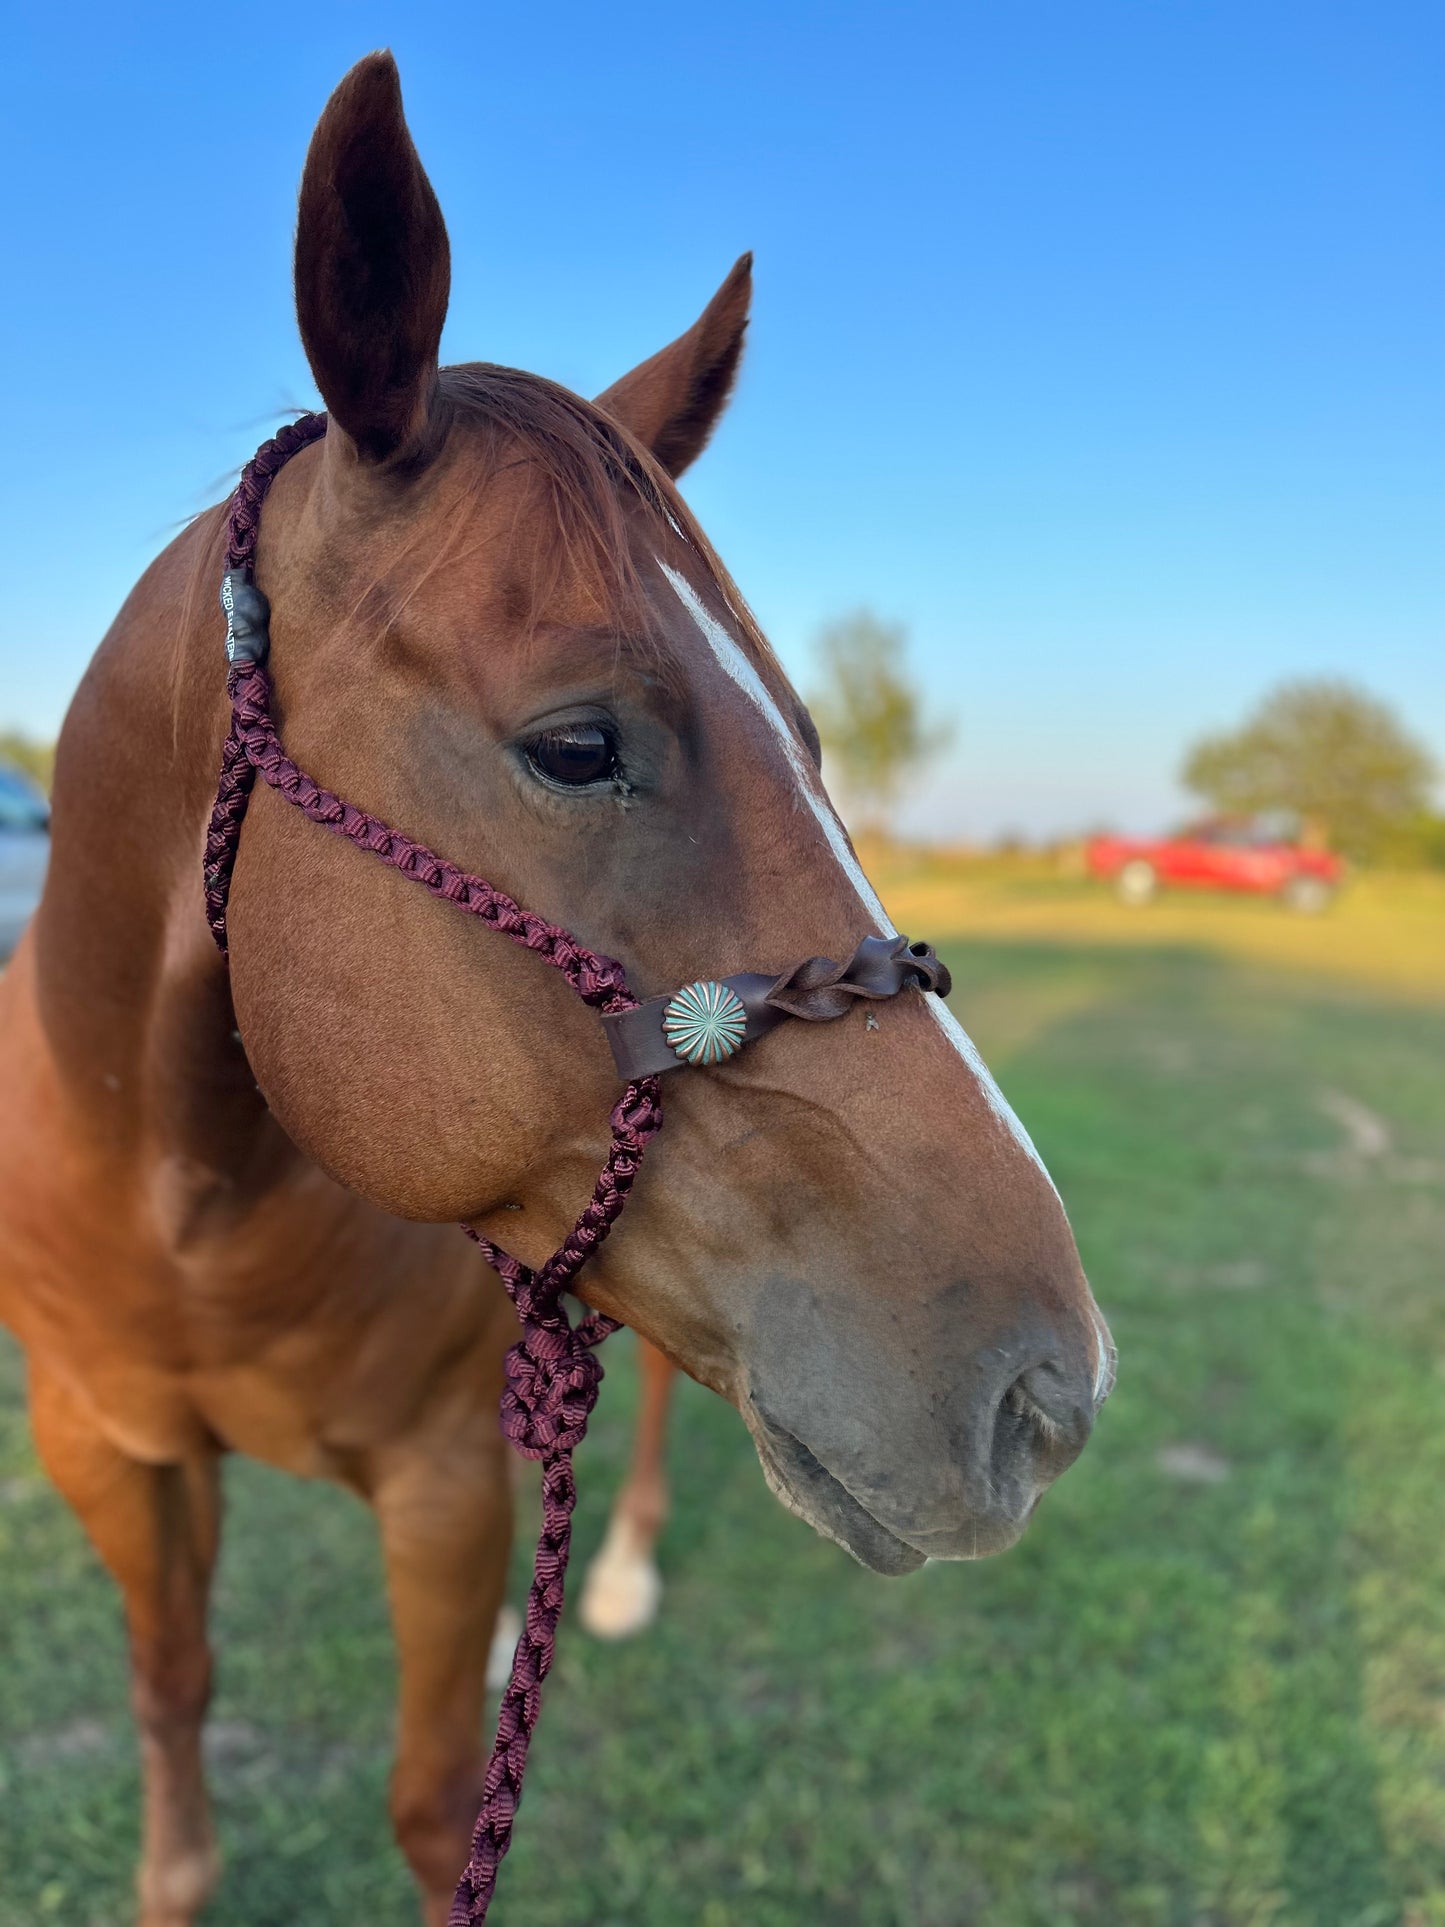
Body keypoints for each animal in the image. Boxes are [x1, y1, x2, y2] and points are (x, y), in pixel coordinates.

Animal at [0, 56, 1117, 1927]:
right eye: (578, 744)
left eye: (815, 746)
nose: (1051, 1391)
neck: (183, 1196)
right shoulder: (114, 1455)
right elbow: (174, 1699)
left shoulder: (439, 1481)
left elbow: (432, 1796)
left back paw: (619, 1570)